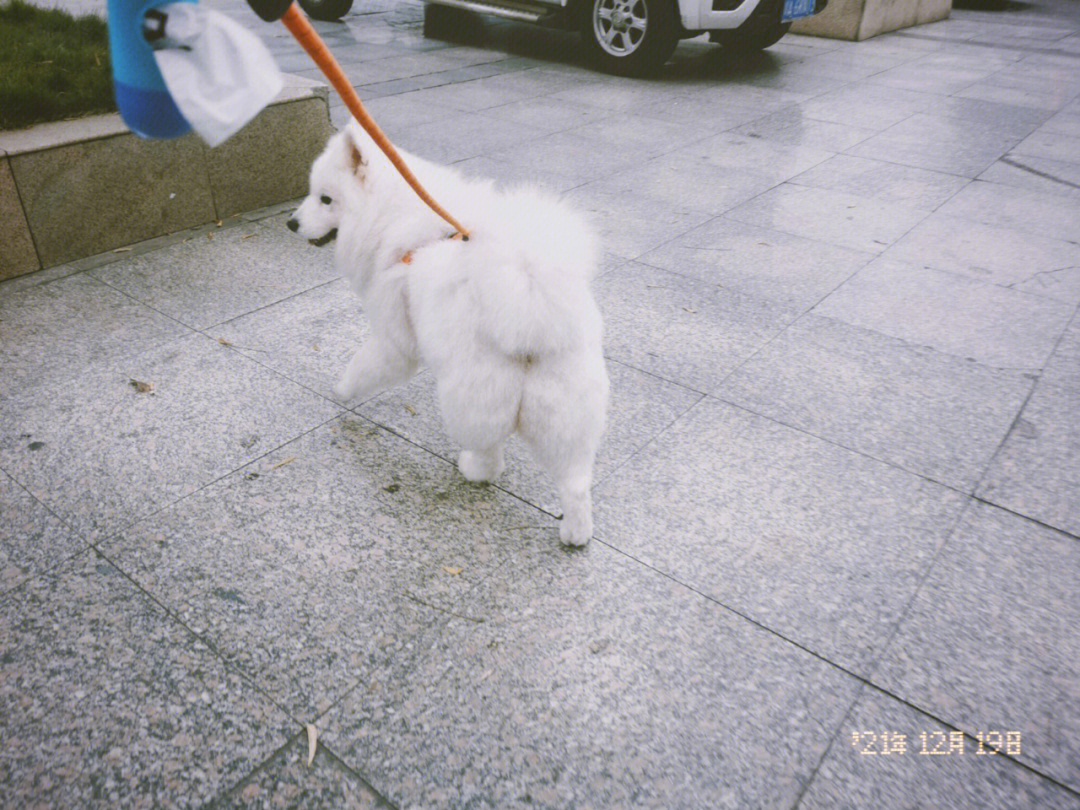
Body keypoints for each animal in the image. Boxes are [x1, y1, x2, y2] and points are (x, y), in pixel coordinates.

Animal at [287, 120, 609, 548]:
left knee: (490, 453)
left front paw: (342, 392)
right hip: (565, 414)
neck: (390, 218)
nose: (291, 222)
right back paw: (576, 534)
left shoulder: (394, 337)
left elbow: (363, 365)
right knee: (575, 483)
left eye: (325, 199)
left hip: (470, 396)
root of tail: (532, 318)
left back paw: (472, 469)